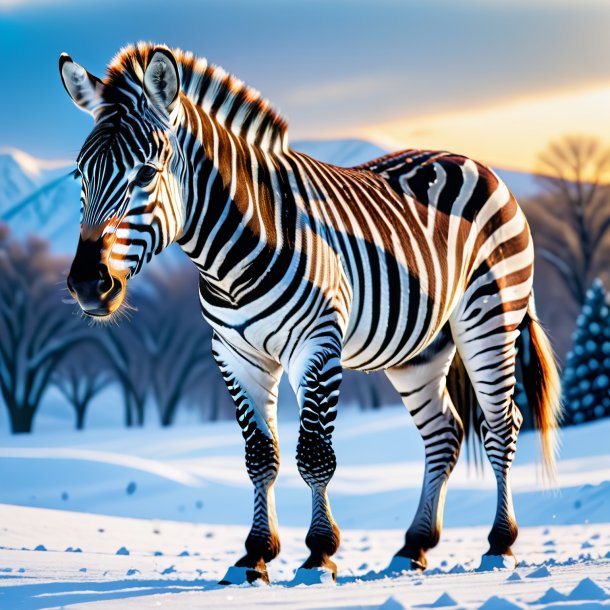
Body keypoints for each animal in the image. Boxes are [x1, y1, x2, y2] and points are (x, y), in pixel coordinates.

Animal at [60, 42, 560, 584]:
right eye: (79, 174)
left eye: (147, 173)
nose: (87, 284)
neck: (234, 255)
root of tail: (473, 161)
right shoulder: (235, 355)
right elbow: (261, 457)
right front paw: (255, 556)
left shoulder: (318, 347)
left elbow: (315, 456)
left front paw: (319, 554)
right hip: (421, 350)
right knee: (444, 433)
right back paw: (414, 545)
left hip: (492, 318)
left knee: (501, 424)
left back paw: (500, 543)